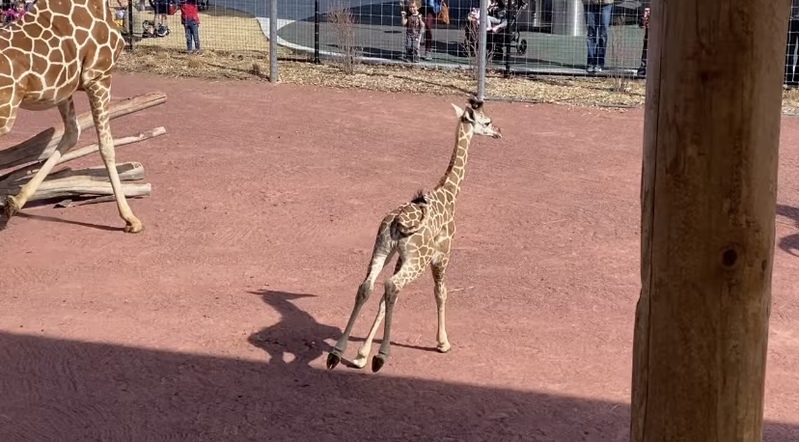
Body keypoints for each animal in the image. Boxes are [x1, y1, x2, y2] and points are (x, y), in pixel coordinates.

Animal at [324, 96, 500, 372]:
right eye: (487, 121)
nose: (498, 132)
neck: (450, 194)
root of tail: (397, 222)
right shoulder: (442, 254)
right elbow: (441, 292)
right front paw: (443, 343)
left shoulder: (399, 257)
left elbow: (382, 301)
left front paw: (361, 354)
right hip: (418, 260)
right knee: (392, 285)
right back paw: (381, 356)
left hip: (381, 249)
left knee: (368, 286)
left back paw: (337, 352)